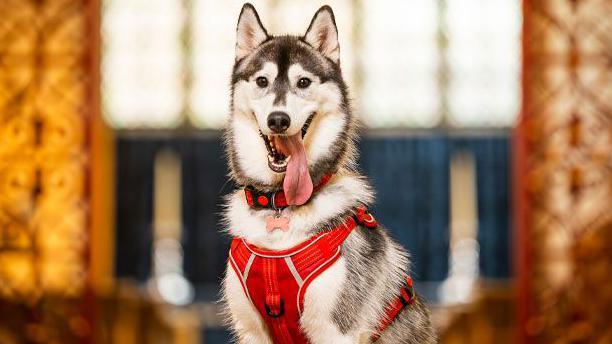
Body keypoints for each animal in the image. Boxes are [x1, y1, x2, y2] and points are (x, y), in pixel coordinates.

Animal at [222, 3, 438, 344]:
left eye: (303, 82)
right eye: (261, 81)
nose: (278, 120)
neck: (280, 205)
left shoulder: (336, 330)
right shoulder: (251, 331)